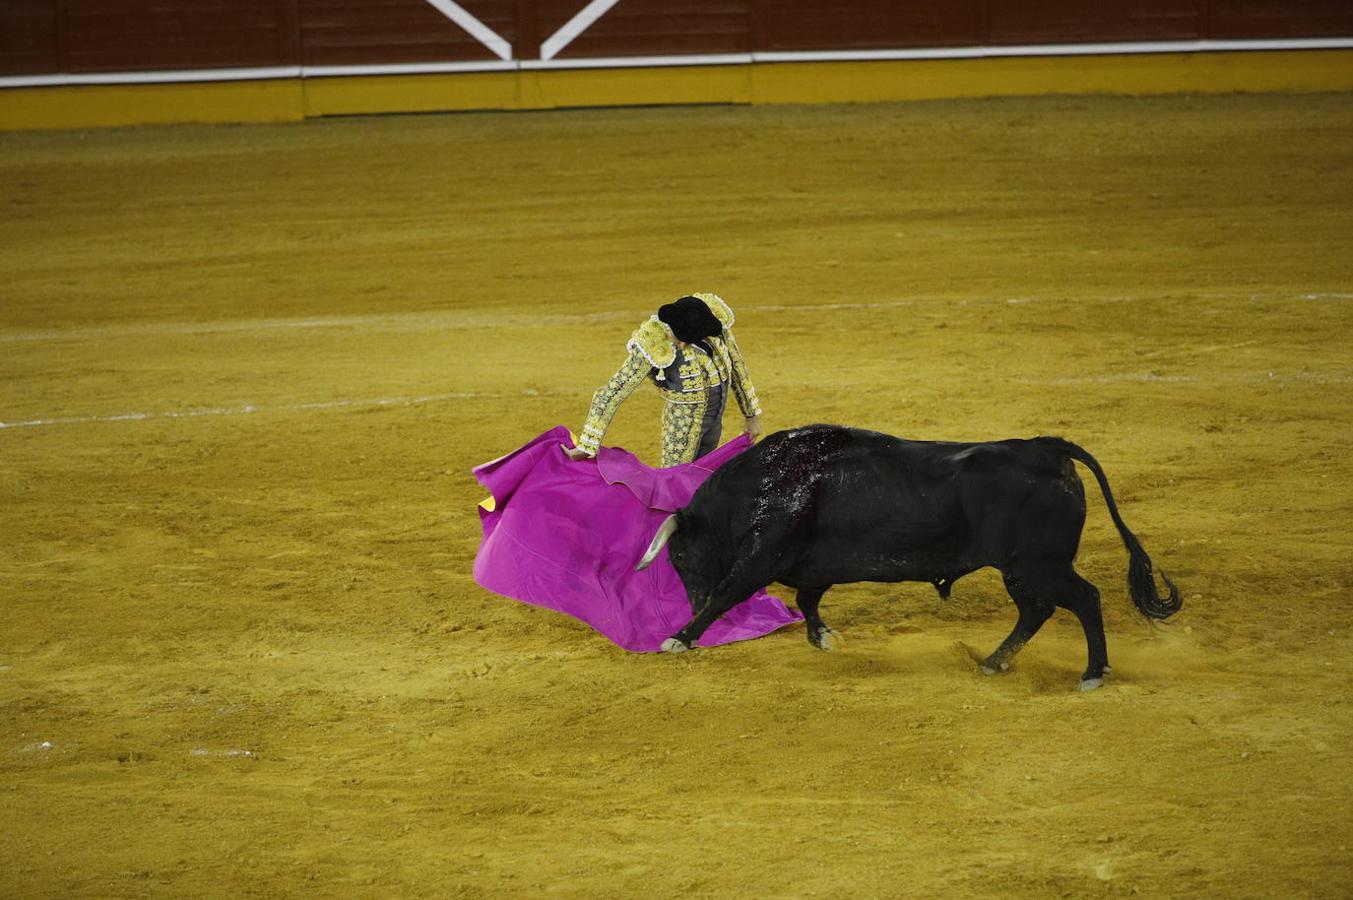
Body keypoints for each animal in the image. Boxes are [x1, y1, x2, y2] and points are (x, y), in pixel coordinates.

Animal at [633, 424, 1174, 690]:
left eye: (679, 555)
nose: (690, 600)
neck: (763, 482)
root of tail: (1046, 449)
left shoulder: (761, 558)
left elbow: (730, 593)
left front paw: (679, 638)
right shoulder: (812, 567)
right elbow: (808, 600)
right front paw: (825, 638)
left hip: (1038, 564)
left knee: (1084, 599)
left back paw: (1092, 673)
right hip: (1022, 571)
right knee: (1036, 611)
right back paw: (993, 663)